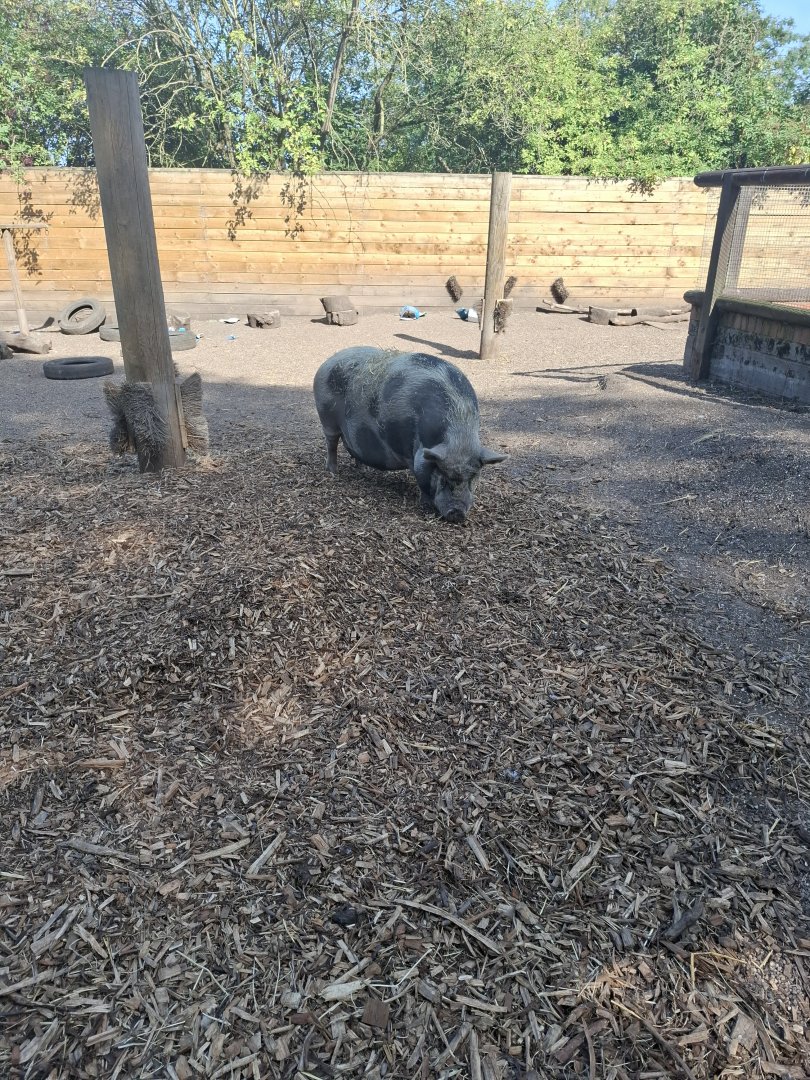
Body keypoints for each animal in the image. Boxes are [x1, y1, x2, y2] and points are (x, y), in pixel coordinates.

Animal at [313, 347, 506, 524]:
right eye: (442, 477)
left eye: (473, 477)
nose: (457, 513)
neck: (459, 439)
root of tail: (327, 362)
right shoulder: (414, 454)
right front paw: (425, 504)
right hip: (326, 417)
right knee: (331, 444)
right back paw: (333, 472)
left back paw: (361, 469)